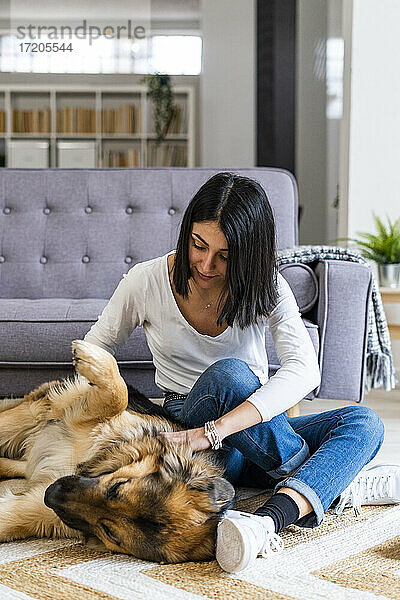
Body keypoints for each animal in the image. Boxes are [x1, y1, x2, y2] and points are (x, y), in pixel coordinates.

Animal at [0, 342, 234, 564]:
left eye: (109, 532)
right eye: (117, 486)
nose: (51, 494)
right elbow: (118, 396)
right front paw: (92, 359)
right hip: (31, 414)